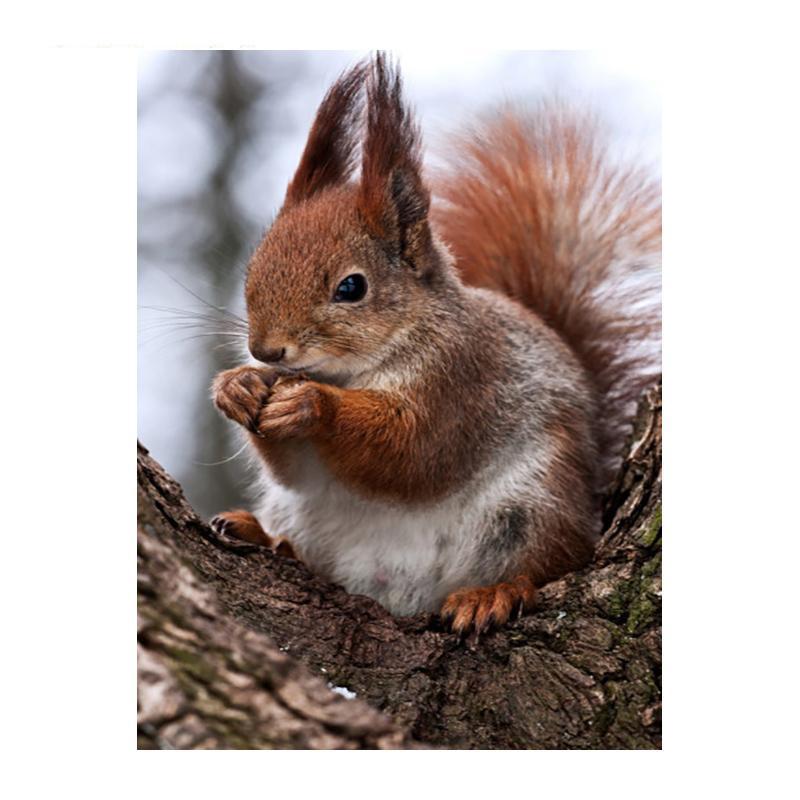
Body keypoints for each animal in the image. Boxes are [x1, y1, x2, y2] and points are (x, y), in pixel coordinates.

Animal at [210, 54, 661, 635]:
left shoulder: (461, 379)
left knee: (547, 563)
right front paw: (238, 387)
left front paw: (312, 404)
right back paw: (266, 538)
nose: (266, 352)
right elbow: (297, 472)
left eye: (351, 287)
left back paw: (492, 593)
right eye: (255, 266)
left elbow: (413, 451)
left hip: (538, 501)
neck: (353, 370)